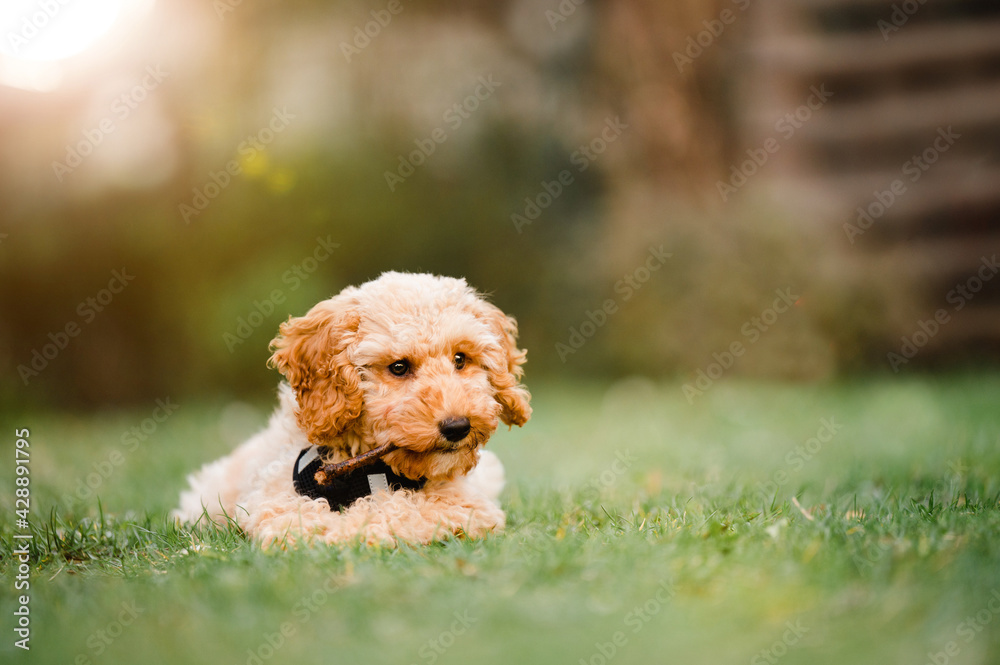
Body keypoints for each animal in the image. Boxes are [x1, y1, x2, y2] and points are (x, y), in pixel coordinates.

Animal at [172, 270, 532, 544]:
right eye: (398, 367)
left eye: (460, 359)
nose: (457, 426)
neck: (370, 470)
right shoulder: (277, 501)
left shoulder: (467, 503)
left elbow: (398, 510)